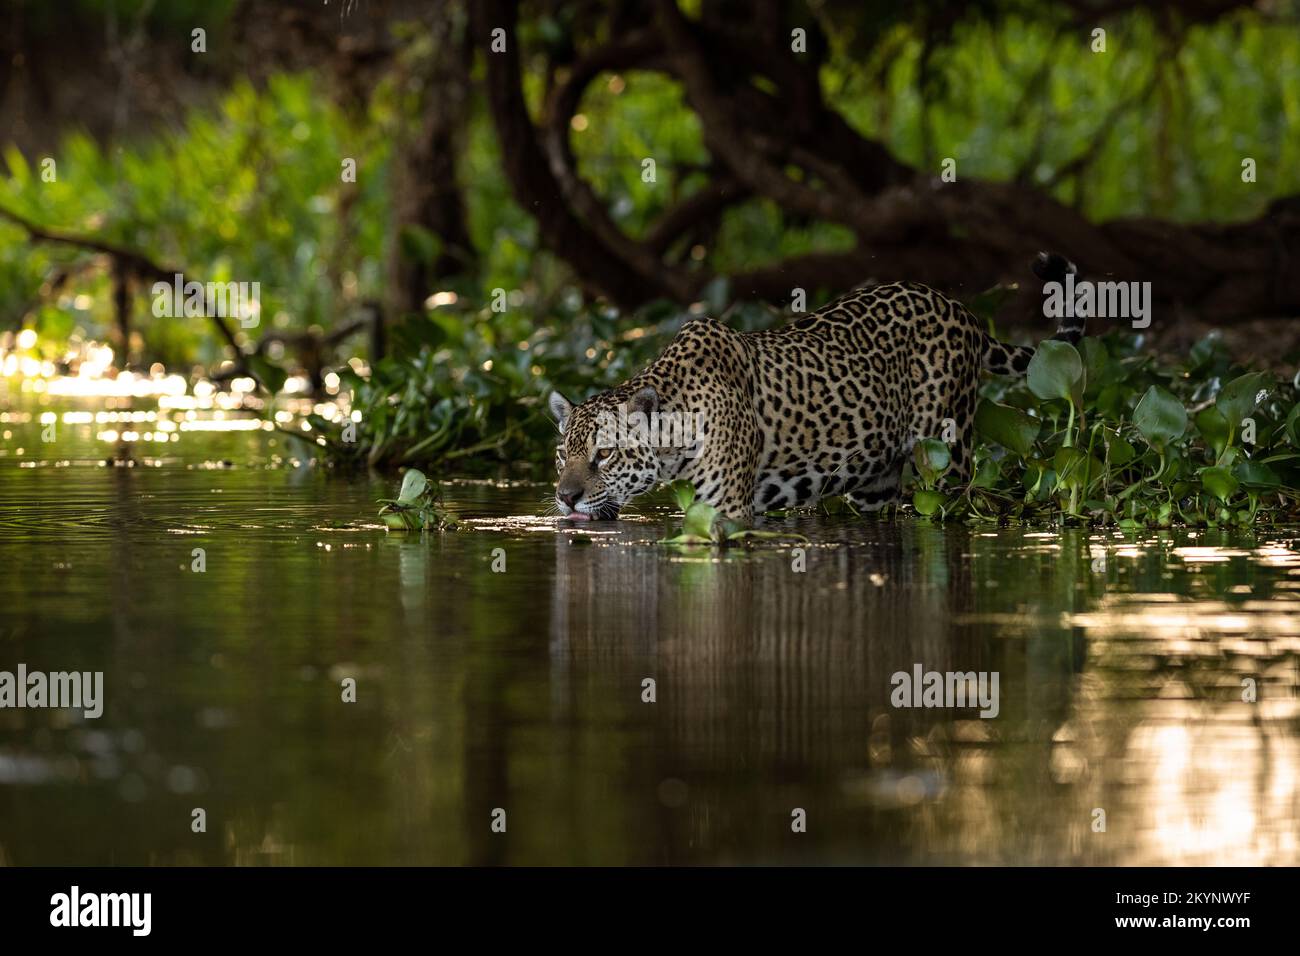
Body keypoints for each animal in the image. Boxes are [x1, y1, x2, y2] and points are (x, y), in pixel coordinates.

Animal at [549, 253, 1084, 522]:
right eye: (561, 457)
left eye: (604, 455)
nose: (566, 498)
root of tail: (961, 308)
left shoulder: (725, 512)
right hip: (875, 482)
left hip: (947, 458)